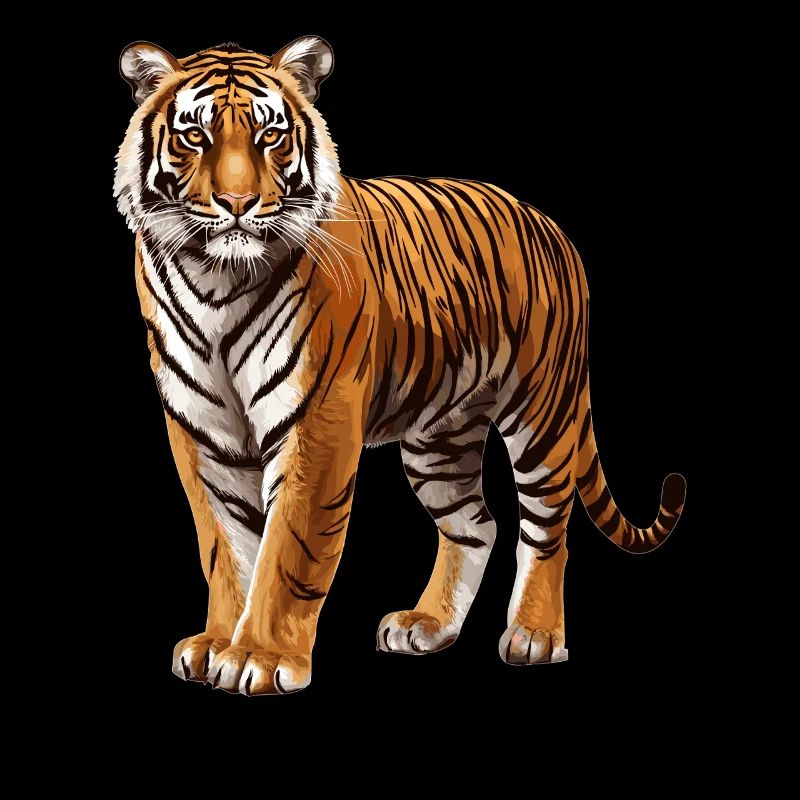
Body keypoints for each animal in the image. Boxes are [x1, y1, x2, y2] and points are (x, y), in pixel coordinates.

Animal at [114, 36, 686, 696]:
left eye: (270, 135)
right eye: (196, 136)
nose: (237, 204)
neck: (217, 279)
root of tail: (552, 226)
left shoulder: (317, 420)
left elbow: (287, 548)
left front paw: (260, 655)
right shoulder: (201, 430)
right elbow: (225, 548)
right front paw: (214, 644)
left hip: (541, 413)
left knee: (546, 529)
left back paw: (535, 635)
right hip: (441, 436)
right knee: (476, 525)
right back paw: (429, 626)